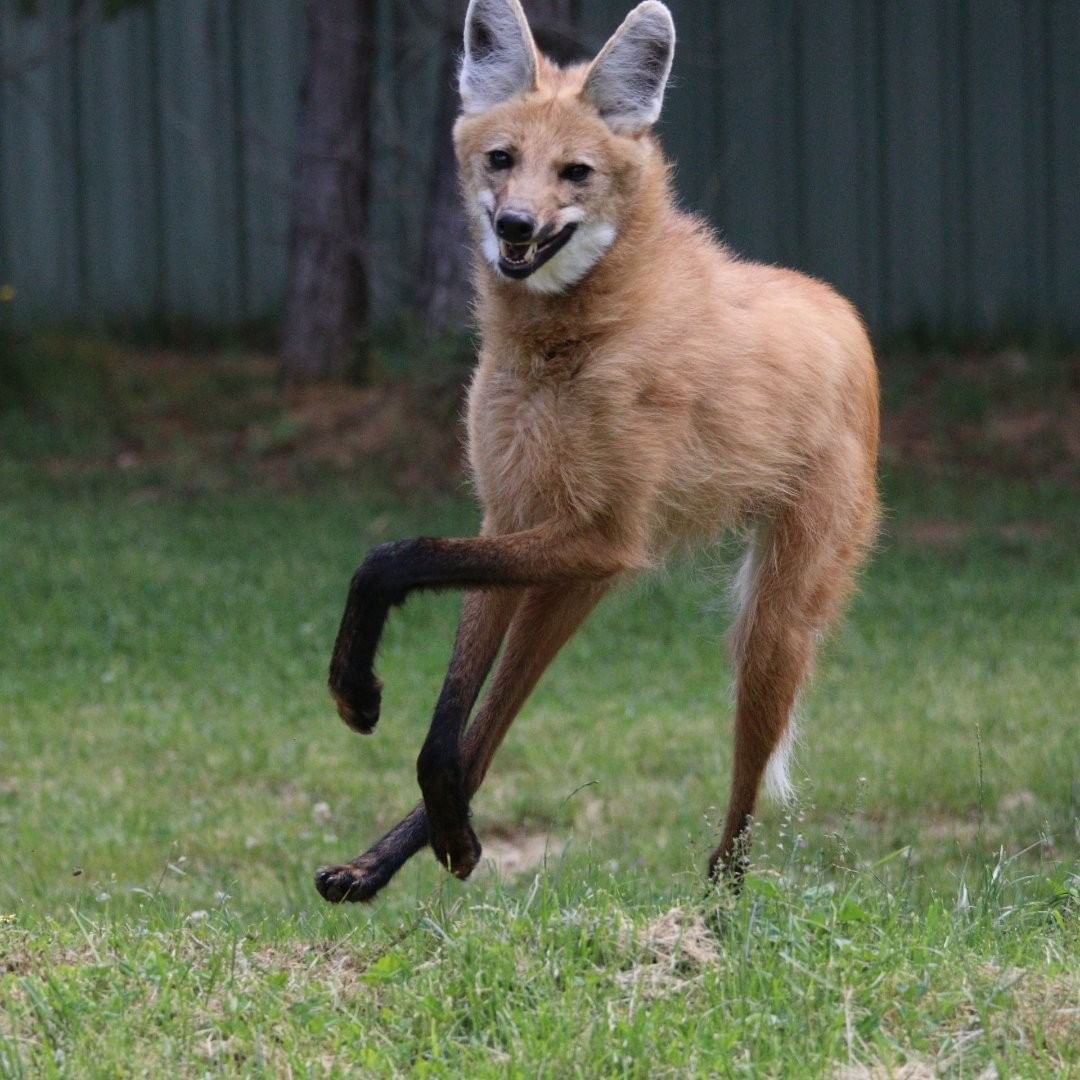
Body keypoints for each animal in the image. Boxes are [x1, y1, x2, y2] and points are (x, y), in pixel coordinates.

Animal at [315, 0, 880, 903]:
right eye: (502, 161)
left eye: (574, 173)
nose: (515, 226)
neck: (560, 346)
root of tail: (846, 313)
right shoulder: (515, 515)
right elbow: (447, 722)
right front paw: (442, 826)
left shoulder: (604, 537)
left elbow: (390, 558)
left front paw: (357, 694)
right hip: (568, 584)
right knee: (484, 734)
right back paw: (390, 860)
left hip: (766, 629)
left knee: (740, 815)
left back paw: (718, 913)